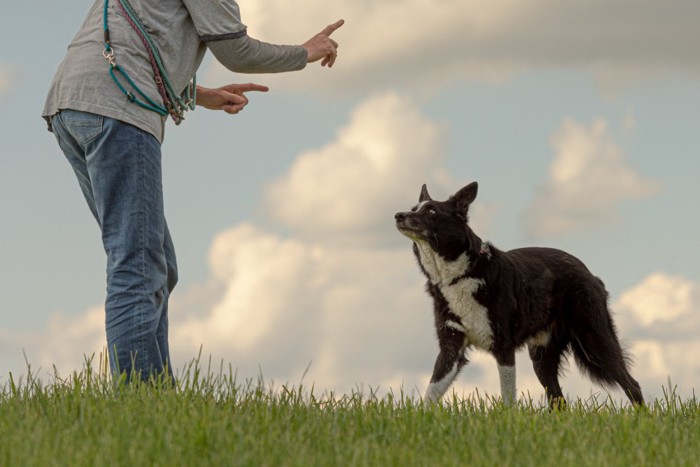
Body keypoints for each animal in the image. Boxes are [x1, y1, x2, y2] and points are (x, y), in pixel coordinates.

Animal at [396, 181, 644, 408]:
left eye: (432, 211)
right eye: (414, 208)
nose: (398, 215)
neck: (460, 274)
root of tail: (591, 275)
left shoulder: (504, 347)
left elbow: (508, 396)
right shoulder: (450, 348)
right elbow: (431, 391)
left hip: (595, 341)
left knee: (632, 384)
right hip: (542, 357)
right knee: (558, 400)